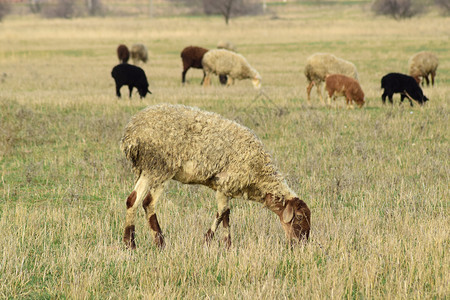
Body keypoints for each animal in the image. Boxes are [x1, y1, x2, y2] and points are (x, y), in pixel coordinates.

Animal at [121, 104, 312, 250]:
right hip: (159, 167)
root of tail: (132, 134)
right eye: (299, 217)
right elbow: (221, 214)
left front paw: (228, 246)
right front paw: (207, 241)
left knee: (132, 200)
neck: (259, 177)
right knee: (147, 203)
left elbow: (226, 215)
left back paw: (130, 244)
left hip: (145, 170)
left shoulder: (226, 188)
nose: (300, 244)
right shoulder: (225, 183)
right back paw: (155, 243)